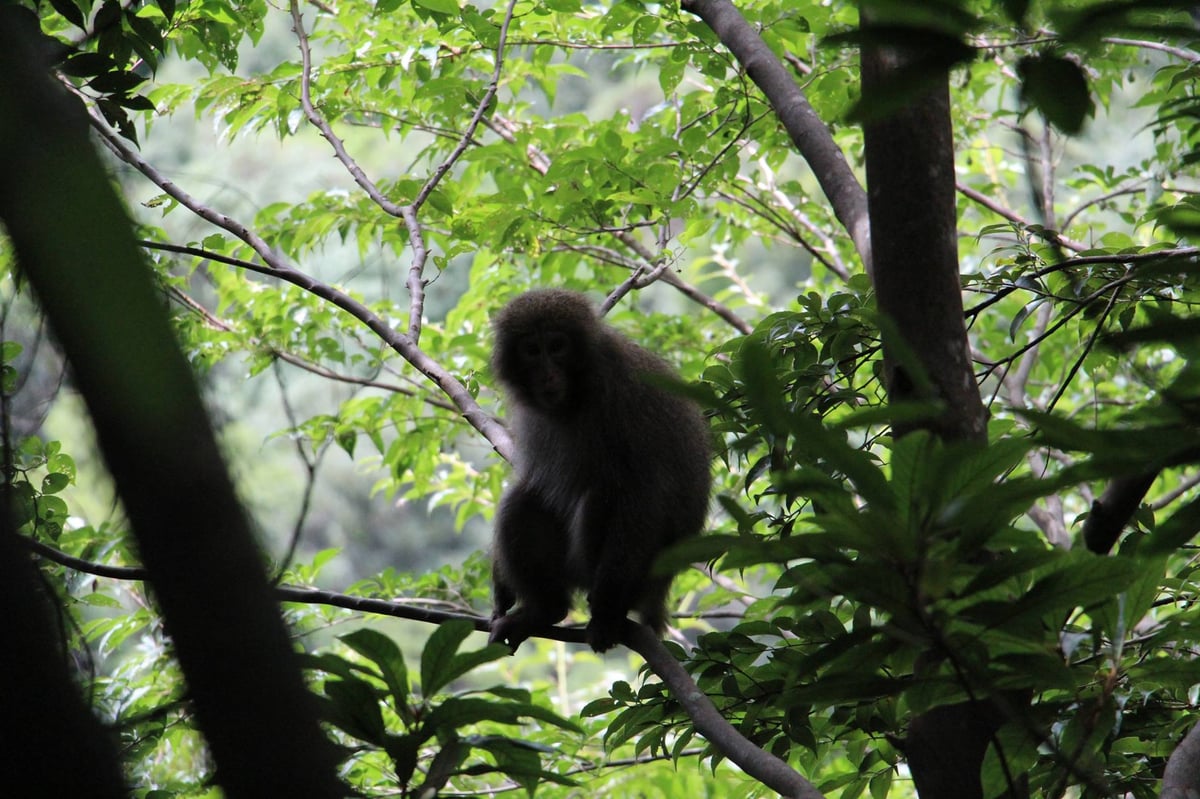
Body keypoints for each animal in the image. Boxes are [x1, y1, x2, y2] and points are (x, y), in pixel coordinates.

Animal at [487, 289, 710, 652]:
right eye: (532, 351)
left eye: (557, 346)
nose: (548, 375)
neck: (577, 396)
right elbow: (531, 481)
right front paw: (502, 588)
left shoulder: (621, 400)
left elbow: (640, 497)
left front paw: (606, 615)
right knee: (526, 500)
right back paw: (545, 609)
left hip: (641, 574)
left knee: (606, 493)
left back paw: (607, 608)